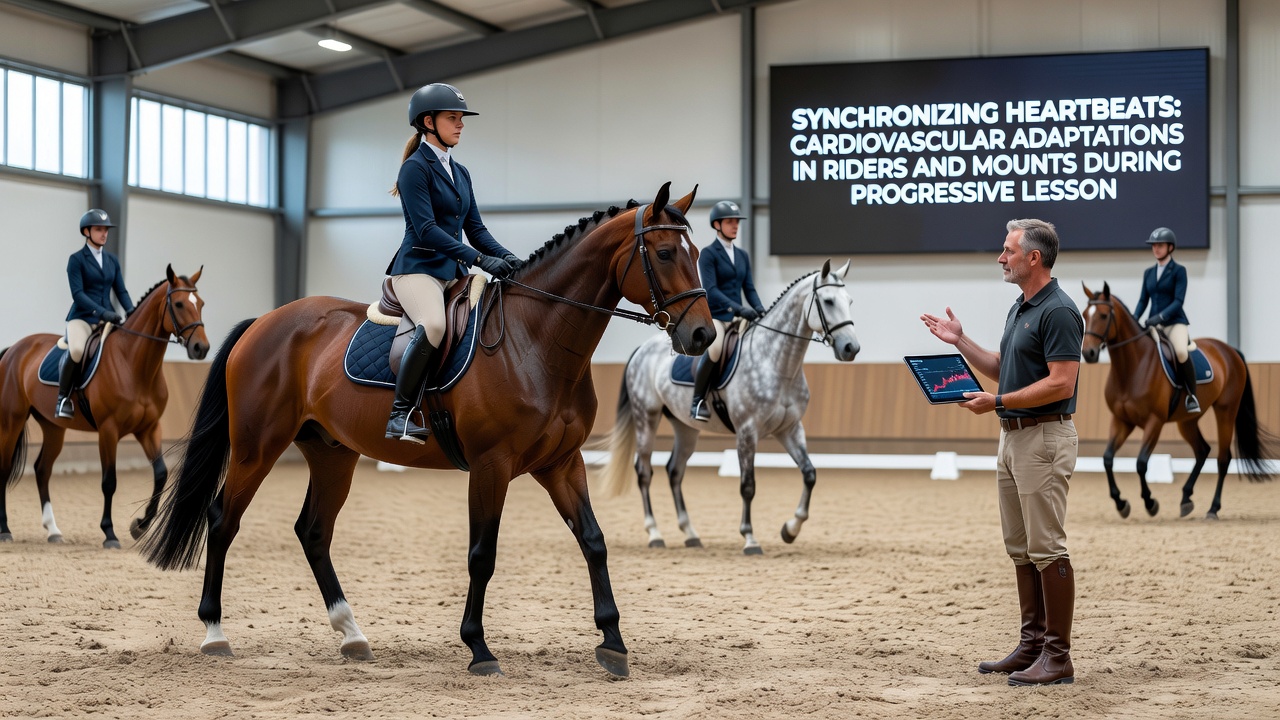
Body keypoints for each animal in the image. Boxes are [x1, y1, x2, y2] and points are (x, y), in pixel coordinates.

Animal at [0, 265, 209, 547]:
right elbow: (109, 481)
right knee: (5, 467)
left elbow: (161, 474)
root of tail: (14, 348)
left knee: (42, 469)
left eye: (201, 304)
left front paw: (140, 525)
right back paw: (5, 530)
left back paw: (53, 530)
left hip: (53, 427)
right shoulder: (109, 430)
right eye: (178, 304)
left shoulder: (149, 428)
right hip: (12, 419)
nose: (201, 348)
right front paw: (109, 533)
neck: (134, 364)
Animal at [139, 184, 713, 679]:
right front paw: (479, 648)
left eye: (697, 252)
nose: (703, 335)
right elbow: (482, 554)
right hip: (257, 448)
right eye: (665, 254)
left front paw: (613, 645)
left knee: (314, 531)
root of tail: (263, 322)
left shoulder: (561, 463)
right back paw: (215, 633)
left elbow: (593, 542)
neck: (535, 340)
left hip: (332, 453)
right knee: (222, 520)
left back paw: (352, 634)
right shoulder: (491, 465)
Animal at [599, 260, 860, 554]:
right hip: (646, 417)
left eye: (849, 300)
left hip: (685, 427)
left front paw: (790, 530)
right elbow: (748, 485)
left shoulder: (790, 429)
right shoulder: (747, 431)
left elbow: (810, 474)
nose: (851, 348)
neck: (778, 365)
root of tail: (642, 349)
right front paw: (750, 538)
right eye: (828, 301)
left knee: (674, 471)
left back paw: (690, 534)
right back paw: (655, 534)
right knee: (644, 472)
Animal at [1081, 283, 1275, 519]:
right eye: (1084, 315)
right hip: (1187, 421)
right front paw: (1121, 503)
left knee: (1223, 458)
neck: (1132, 368)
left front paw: (1150, 503)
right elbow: (1107, 459)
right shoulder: (1121, 420)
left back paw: (1213, 509)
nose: (1088, 353)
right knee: (1202, 451)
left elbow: (1141, 463)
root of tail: (1229, 350)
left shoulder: (1154, 422)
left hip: (1226, 411)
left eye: (1103, 315)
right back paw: (1186, 499)